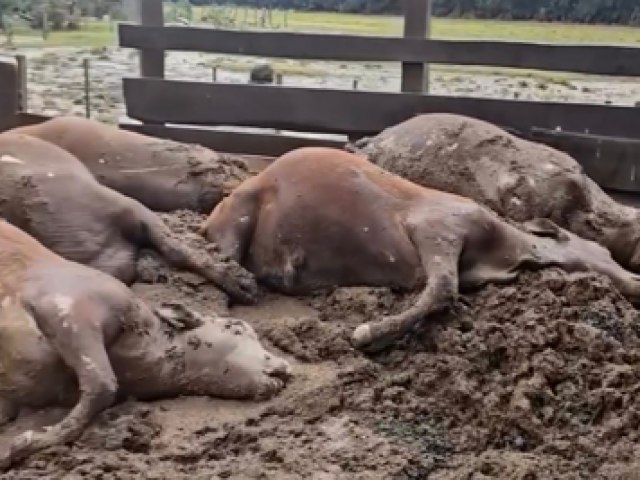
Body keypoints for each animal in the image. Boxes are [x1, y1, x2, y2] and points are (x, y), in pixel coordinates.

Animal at [200, 147, 640, 352]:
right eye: (600, 254)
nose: (635, 280)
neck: (502, 251)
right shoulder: (438, 228)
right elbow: (441, 288)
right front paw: (369, 334)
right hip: (239, 212)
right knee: (218, 262)